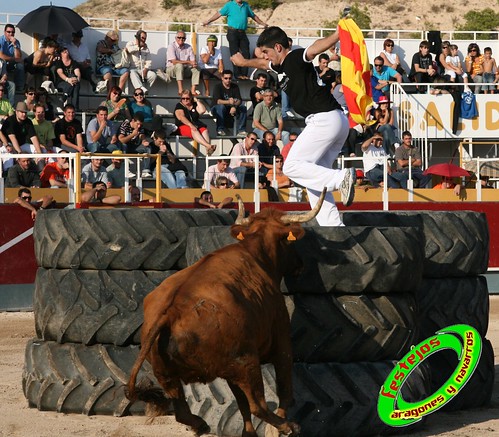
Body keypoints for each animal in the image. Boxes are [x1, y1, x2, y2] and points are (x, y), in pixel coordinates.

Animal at [127, 189, 326, 434]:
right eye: (290, 244)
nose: (300, 265)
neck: (256, 252)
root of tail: (170, 312)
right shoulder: (282, 344)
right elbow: (284, 392)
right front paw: (282, 425)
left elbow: (242, 405)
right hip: (246, 365)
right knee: (258, 405)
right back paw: (287, 426)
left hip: (170, 377)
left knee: (184, 412)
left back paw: (203, 425)